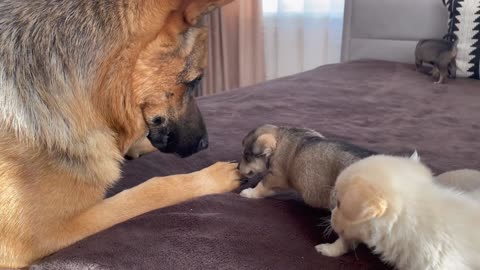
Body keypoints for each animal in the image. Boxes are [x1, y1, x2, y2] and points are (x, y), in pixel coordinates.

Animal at [238, 124, 376, 209]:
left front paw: (250, 192)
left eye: (247, 156)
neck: (279, 140)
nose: (238, 167)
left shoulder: (276, 177)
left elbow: (262, 185)